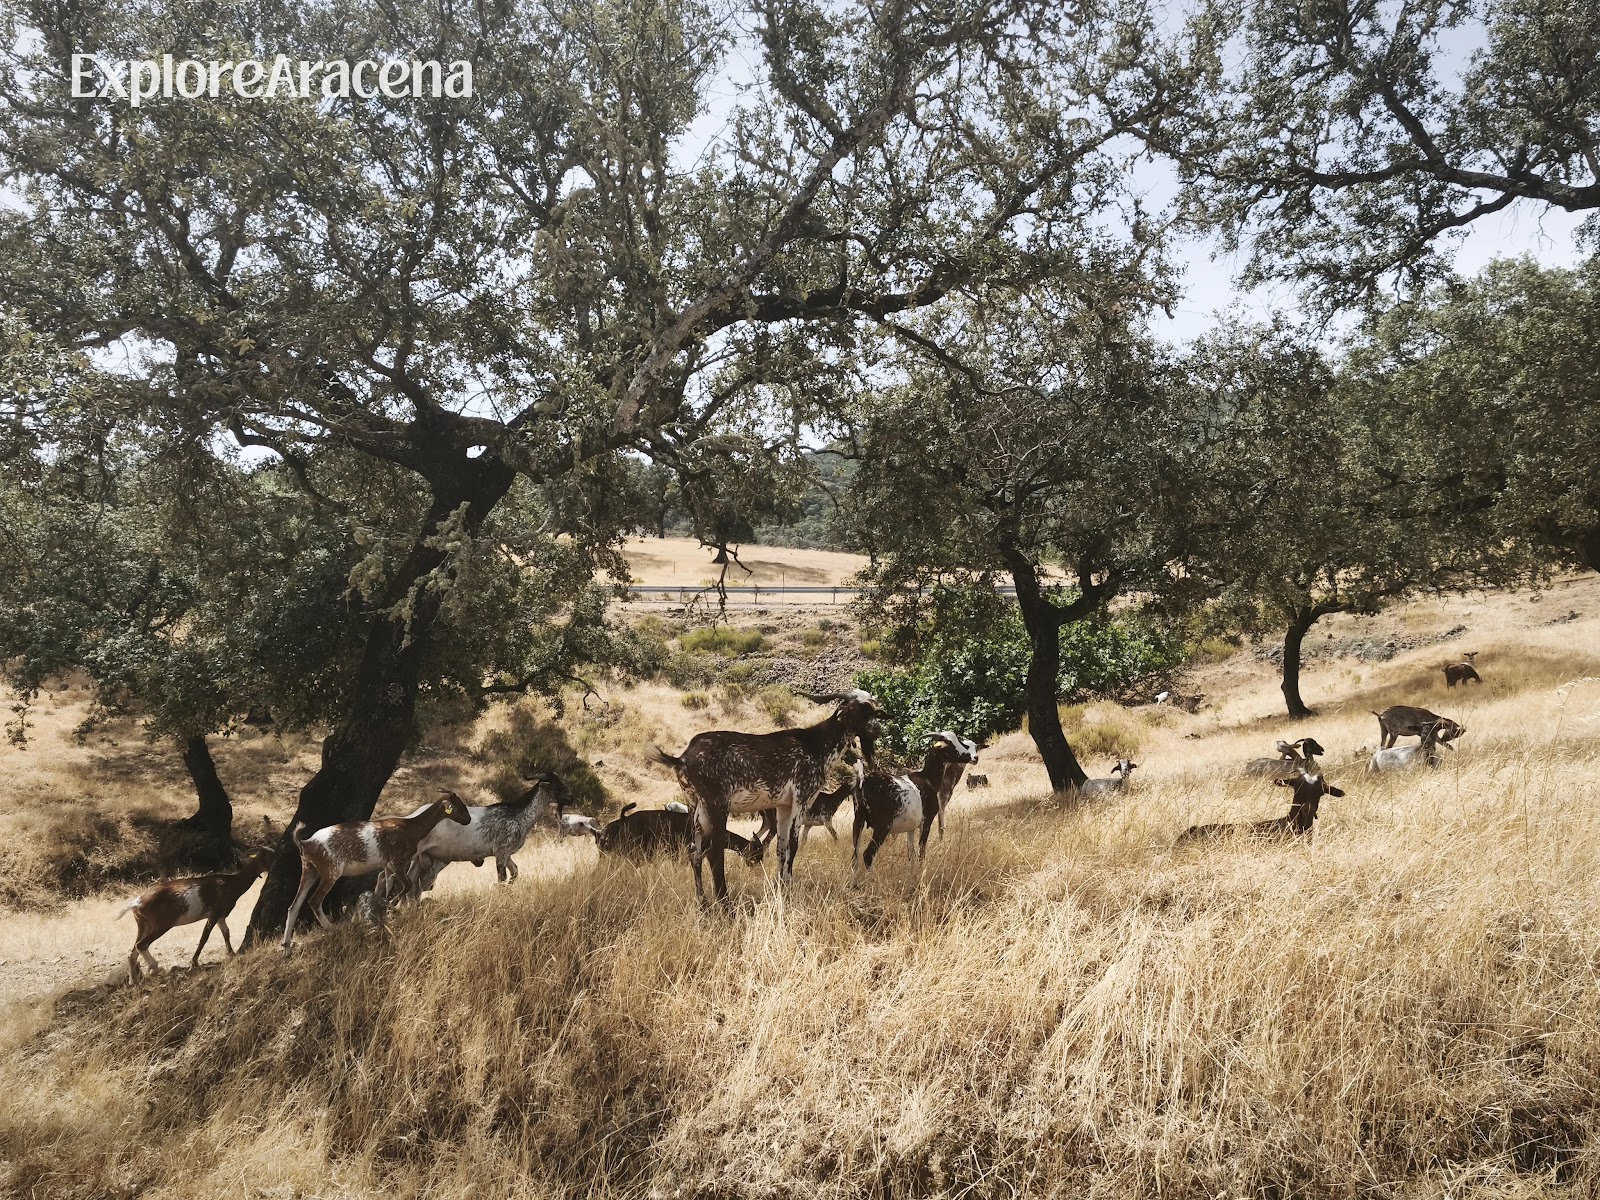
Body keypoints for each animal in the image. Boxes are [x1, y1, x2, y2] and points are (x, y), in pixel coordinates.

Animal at [118, 848, 275, 985]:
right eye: (269, 857)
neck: (231, 883)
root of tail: (136, 903)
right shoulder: (214, 913)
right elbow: (204, 937)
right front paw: (194, 962)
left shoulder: (220, 916)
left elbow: (226, 932)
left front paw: (231, 953)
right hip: (161, 924)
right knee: (141, 944)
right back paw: (154, 968)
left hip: (143, 925)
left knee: (132, 952)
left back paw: (133, 981)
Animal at [281, 793, 470, 949]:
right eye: (460, 806)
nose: (468, 820)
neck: (410, 827)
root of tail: (306, 843)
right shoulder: (397, 862)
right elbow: (407, 884)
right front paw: (393, 903)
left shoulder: (387, 865)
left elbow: (387, 883)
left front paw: (387, 903)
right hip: (330, 872)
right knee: (314, 901)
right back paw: (333, 928)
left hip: (309, 871)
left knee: (293, 906)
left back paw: (286, 946)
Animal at [409, 773, 568, 892]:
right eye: (559, 786)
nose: (571, 797)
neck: (519, 814)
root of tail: (412, 816)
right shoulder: (501, 851)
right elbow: (502, 878)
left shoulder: (506, 854)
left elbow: (515, 872)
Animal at [653, 690, 884, 905]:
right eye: (854, 708)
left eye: (873, 709)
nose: (877, 729)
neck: (815, 746)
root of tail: (682, 759)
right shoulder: (801, 799)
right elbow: (793, 845)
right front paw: (789, 889)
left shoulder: (783, 806)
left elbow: (781, 848)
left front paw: (781, 887)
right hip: (716, 805)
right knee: (714, 853)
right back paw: (725, 904)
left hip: (696, 808)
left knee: (695, 852)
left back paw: (703, 903)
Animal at [852, 732, 980, 878]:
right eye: (951, 745)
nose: (973, 757)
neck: (928, 778)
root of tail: (863, 782)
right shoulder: (927, 820)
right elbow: (921, 849)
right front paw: (921, 872)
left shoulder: (911, 828)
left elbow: (910, 852)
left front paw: (913, 874)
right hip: (883, 826)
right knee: (868, 855)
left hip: (858, 820)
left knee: (855, 855)